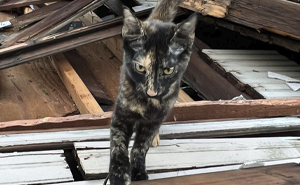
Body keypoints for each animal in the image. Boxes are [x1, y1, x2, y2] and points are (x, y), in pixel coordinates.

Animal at [109, 0, 198, 184]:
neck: (147, 103)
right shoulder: (121, 116)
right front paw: (119, 176)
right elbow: (118, 146)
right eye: (140, 68)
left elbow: (141, 147)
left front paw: (138, 173)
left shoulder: (155, 120)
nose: (152, 92)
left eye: (168, 70)